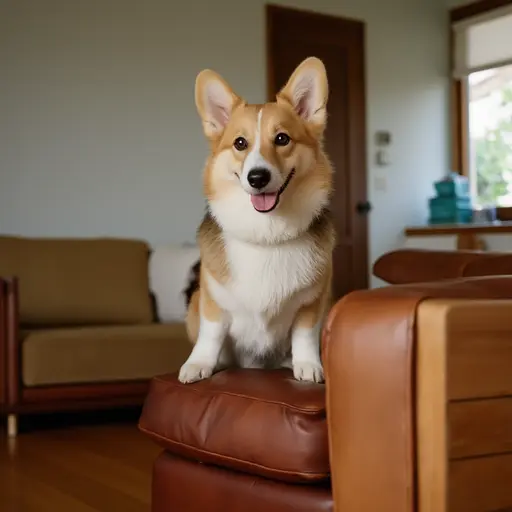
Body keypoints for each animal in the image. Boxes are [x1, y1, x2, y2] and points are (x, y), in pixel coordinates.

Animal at [180, 57, 336, 384]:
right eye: (240, 143)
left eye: (282, 139)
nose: (257, 177)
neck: (266, 234)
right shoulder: (210, 299)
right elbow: (210, 334)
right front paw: (199, 364)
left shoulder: (313, 302)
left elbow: (304, 335)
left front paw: (307, 366)